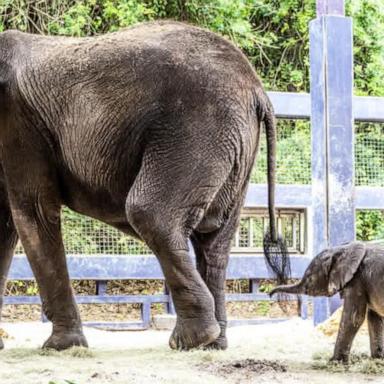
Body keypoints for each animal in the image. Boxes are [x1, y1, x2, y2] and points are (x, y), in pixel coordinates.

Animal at [0, 20, 278, 352]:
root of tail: (257, 90)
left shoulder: (19, 124)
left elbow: (34, 211)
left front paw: (61, 347)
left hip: (197, 129)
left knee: (152, 214)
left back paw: (191, 339)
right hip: (236, 149)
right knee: (214, 241)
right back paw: (213, 344)